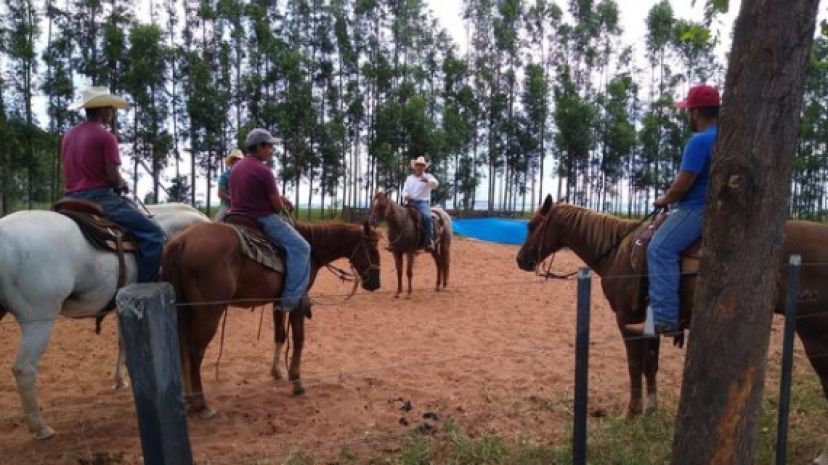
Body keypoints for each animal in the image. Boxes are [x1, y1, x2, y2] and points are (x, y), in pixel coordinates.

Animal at [0, 202, 207, 438]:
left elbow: (123, 342)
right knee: (24, 369)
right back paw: (40, 428)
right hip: (39, 321)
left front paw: (120, 379)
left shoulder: (125, 304)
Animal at [162, 219, 382, 416]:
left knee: (182, 348)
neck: (312, 247)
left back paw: (188, 400)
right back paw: (201, 405)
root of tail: (182, 241)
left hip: (185, 310)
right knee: (195, 352)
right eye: (372, 249)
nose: (376, 283)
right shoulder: (298, 302)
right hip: (209, 312)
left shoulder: (278, 302)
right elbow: (299, 339)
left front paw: (277, 372)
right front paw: (297, 382)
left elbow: (280, 335)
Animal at [516, 197, 828, 464]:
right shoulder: (650, 325)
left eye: (533, 225)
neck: (617, 252)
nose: (521, 260)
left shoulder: (626, 321)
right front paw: (651, 411)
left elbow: (634, 366)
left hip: (814, 332)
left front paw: (632, 413)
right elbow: (650, 366)